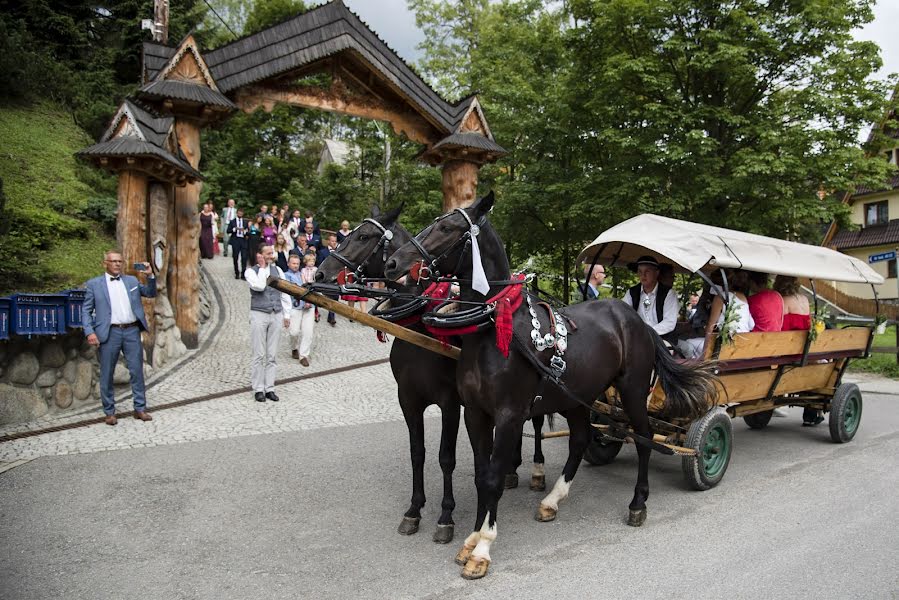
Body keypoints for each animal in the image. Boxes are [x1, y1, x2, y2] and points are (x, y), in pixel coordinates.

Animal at [316, 205, 548, 544]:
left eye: (363, 236)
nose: (320, 274)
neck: (417, 328)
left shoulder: (449, 403)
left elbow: (445, 457)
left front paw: (445, 516)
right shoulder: (408, 399)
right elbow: (418, 453)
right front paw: (414, 510)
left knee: (538, 420)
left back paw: (535, 470)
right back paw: (510, 470)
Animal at [384, 192, 716, 576]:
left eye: (448, 228)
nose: (392, 264)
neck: (493, 330)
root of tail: (635, 320)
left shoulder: (509, 415)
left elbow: (494, 476)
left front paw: (483, 548)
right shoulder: (475, 413)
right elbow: (482, 474)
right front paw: (471, 539)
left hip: (632, 389)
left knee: (645, 438)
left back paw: (638, 503)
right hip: (579, 397)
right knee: (581, 440)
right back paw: (553, 500)